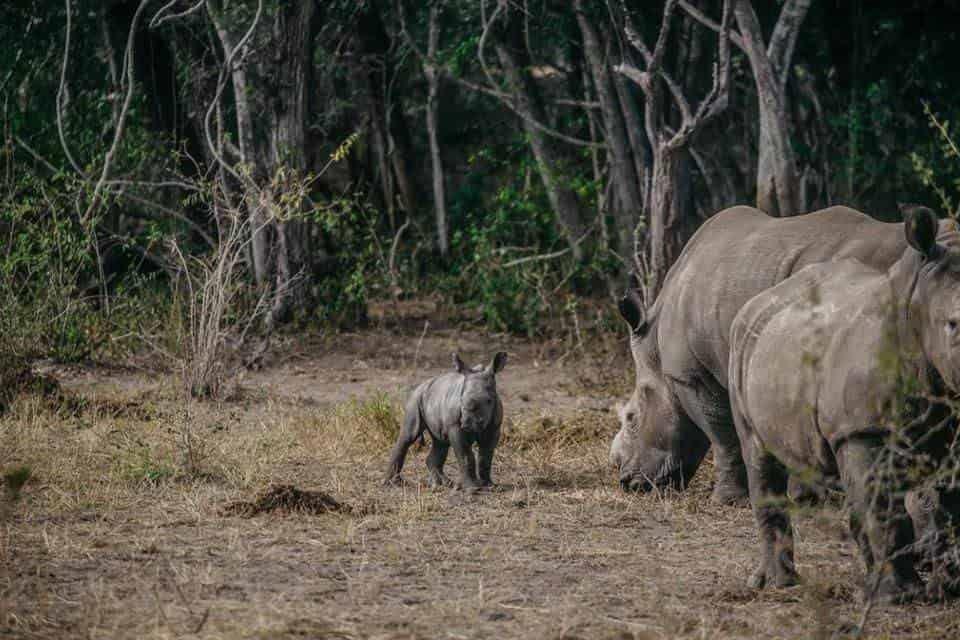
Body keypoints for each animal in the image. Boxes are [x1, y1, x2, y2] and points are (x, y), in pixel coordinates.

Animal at [382, 352, 506, 488]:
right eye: (461, 400)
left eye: (489, 401)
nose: (468, 425)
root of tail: (422, 384)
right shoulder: (455, 426)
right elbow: (465, 456)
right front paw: (473, 488)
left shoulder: (495, 427)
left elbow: (486, 457)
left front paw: (489, 485)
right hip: (416, 398)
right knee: (409, 436)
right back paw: (392, 483)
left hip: (433, 400)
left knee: (440, 442)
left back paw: (443, 484)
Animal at [612, 205, 956, 504]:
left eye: (632, 418)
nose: (625, 480)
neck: (655, 347)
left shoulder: (691, 375)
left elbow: (722, 434)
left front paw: (729, 499)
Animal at [732, 206, 956, 600]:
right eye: (952, 325)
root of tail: (759, 298)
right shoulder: (862, 428)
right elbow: (883, 505)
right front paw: (899, 596)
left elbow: (948, 502)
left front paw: (948, 588)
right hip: (740, 342)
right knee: (757, 452)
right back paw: (780, 584)